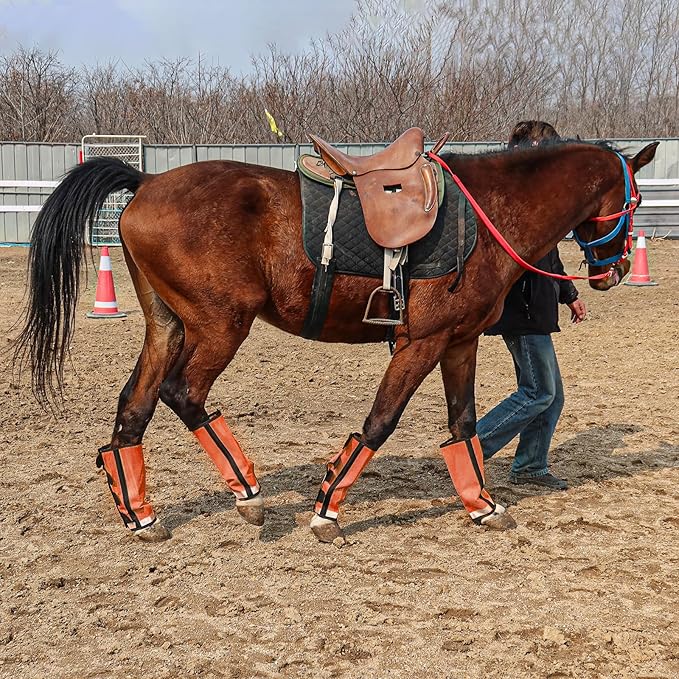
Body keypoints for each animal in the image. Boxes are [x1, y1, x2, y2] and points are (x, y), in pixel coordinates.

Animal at [13, 138, 658, 543]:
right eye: (634, 200)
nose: (616, 269)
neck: (487, 214)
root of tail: (146, 182)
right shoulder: (420, 343)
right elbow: (380, 422)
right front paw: (326, 510)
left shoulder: (459, 343)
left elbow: (463, 425)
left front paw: (483, 504)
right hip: (220, 326)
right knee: (182, 394)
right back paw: (248, 493)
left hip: (168, 327)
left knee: (134, 408)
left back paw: (140, 515)